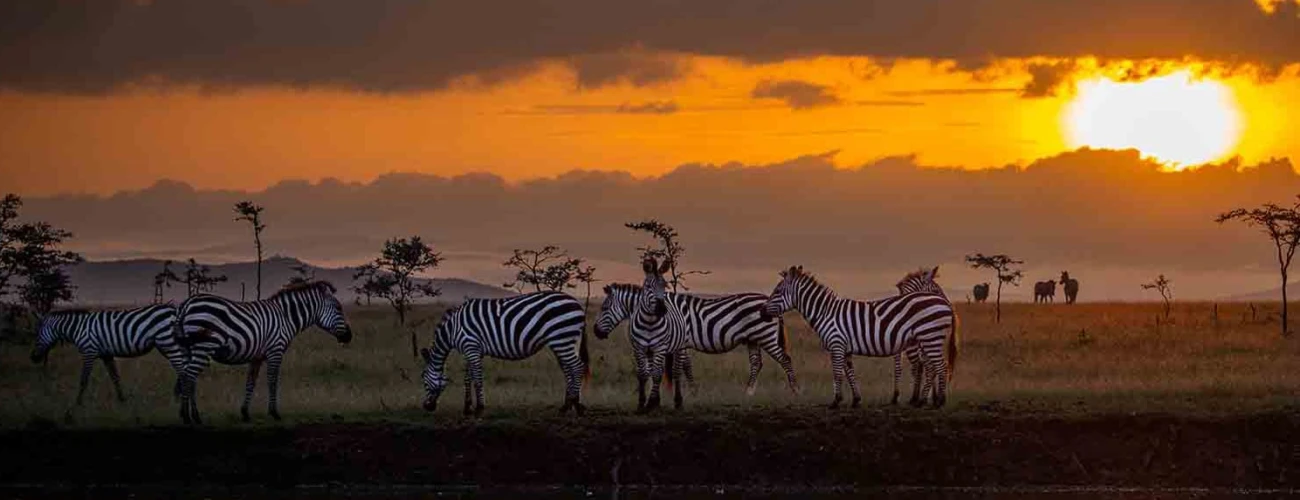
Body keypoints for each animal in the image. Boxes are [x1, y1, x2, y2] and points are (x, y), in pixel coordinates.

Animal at [29, 303, 185, 405]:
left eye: (37, 334)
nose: (33, 358)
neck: (78, 328)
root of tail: (175, 309)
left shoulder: (89, 352)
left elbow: (83, 379)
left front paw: (78, 403)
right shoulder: (106, 355)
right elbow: (115, 377)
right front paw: (122, 400)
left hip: (167, 342)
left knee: (181, 368)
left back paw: (178, 398)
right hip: (168, 345)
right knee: (183, 366)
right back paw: (179, 395)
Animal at [178, 277, 353, 423]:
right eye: (338, 308)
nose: (349, 336)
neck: (285, 318)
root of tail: (187, 303)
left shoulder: (257, 356)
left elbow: (251, 382)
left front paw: (245, 413)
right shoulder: (276, 350)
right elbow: (272, 380)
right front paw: (274, 413)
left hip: (191, 349)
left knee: (187, 376)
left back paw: (191, 415)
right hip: (203, 346)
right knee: (189, 375)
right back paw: (189, 416)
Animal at [421, 288, 590, 412]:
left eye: (423, 380)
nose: (427, 407)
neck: (453, 329)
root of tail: (576, 303)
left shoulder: (471, 346)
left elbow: (477, 378)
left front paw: (479, 408)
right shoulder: (470, 350)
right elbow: (468, 378)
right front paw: (467, 407)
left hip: (562, 337)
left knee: (577, 367)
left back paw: (576, 405)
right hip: (566, 341)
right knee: (569, 369)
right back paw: (567, 405)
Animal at [595, 283, 795, 407]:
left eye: (604, 308)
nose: (596, 331)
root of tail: (768, 302)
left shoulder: (680, 343)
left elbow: (683, 367)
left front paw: (690, 392)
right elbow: (676, 367)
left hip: (766, 336)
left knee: (785, 359)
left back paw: (793, 390)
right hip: (753, 339)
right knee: (756, 364)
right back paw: (748, 393)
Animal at [759, 262, 961, 407]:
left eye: (777, 291)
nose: (761, 312)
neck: (825, 312)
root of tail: (944, 303)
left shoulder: (836, 344)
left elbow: (837, 373)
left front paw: (836, 402)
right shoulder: (844, 347)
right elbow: (850, 373)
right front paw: (855, 400)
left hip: (929, 337)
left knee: (940, 366)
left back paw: (939, 402)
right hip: (928, 339)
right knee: (934, 366)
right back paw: (925, 400)